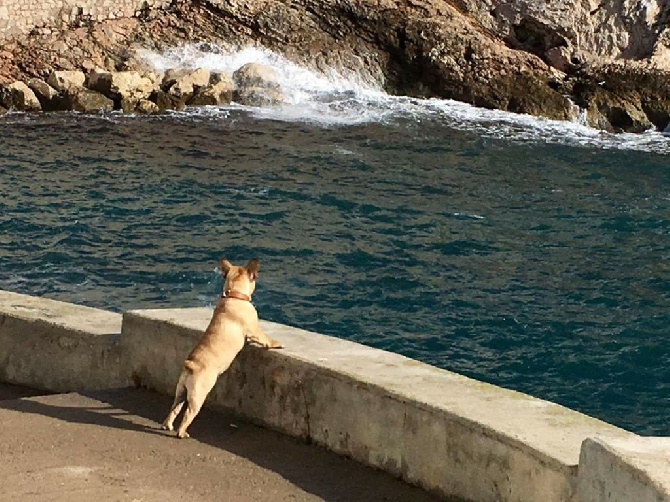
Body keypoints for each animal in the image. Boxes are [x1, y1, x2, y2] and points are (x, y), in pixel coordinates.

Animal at [163, 256, 284, 438]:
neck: (234, 295)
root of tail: (191, 366)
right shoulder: (255, 330)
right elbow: (265, 339)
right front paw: (276, 343)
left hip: (181, 392)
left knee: (174, 408)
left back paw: (167, 425)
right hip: (198, 396)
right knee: (187, 415)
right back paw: (182, 433)